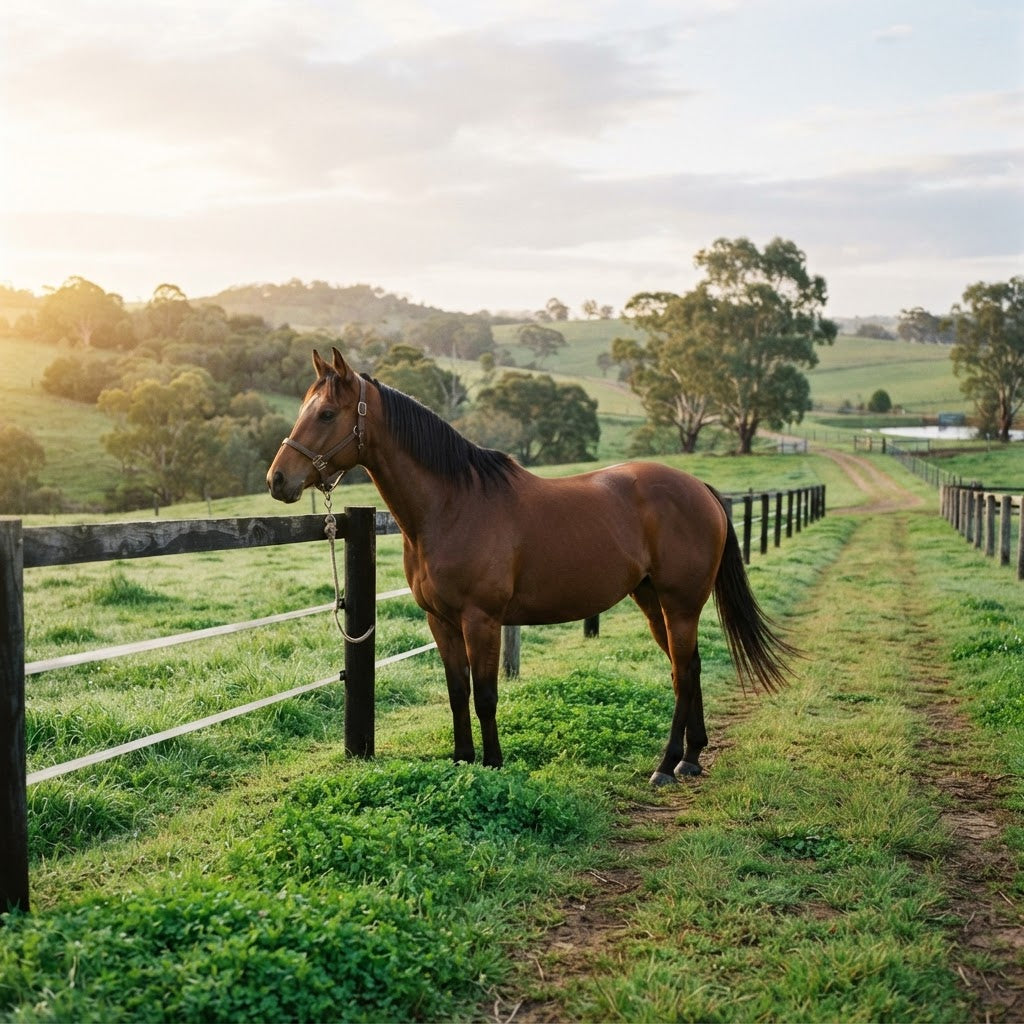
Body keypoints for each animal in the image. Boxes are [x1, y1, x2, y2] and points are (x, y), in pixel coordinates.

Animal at [267, 348, 794, 785]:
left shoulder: (481, 620)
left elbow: (485, 695)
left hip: (679, 604)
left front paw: (493, 764)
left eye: (326, 413)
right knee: (691, 667)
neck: (453, 504)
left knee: (683, 674)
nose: (278, 480)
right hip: (652, 601)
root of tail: (700, 488)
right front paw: (461, 760)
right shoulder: (441, 621)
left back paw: (666, 766)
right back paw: (692, 757)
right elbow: (457, 691)